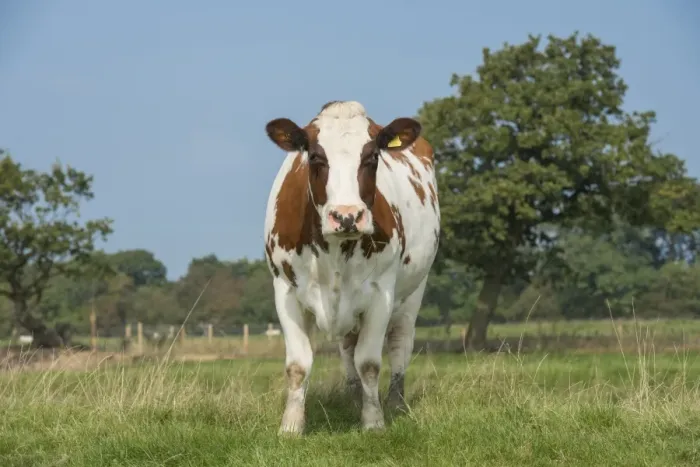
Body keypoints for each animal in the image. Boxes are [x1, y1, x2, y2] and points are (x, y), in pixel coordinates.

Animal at [263, 100, 440, 435]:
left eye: (372, 157)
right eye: (315, 156)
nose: (346, 216)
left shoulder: (381, 293)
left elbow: (369, 363)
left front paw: (374, 422)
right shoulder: (285, 290)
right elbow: (298, 364)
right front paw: (291, 426)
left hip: (414, 290)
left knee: (399, 343)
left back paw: (395, 403)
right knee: (347, 347)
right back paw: (354, 399)